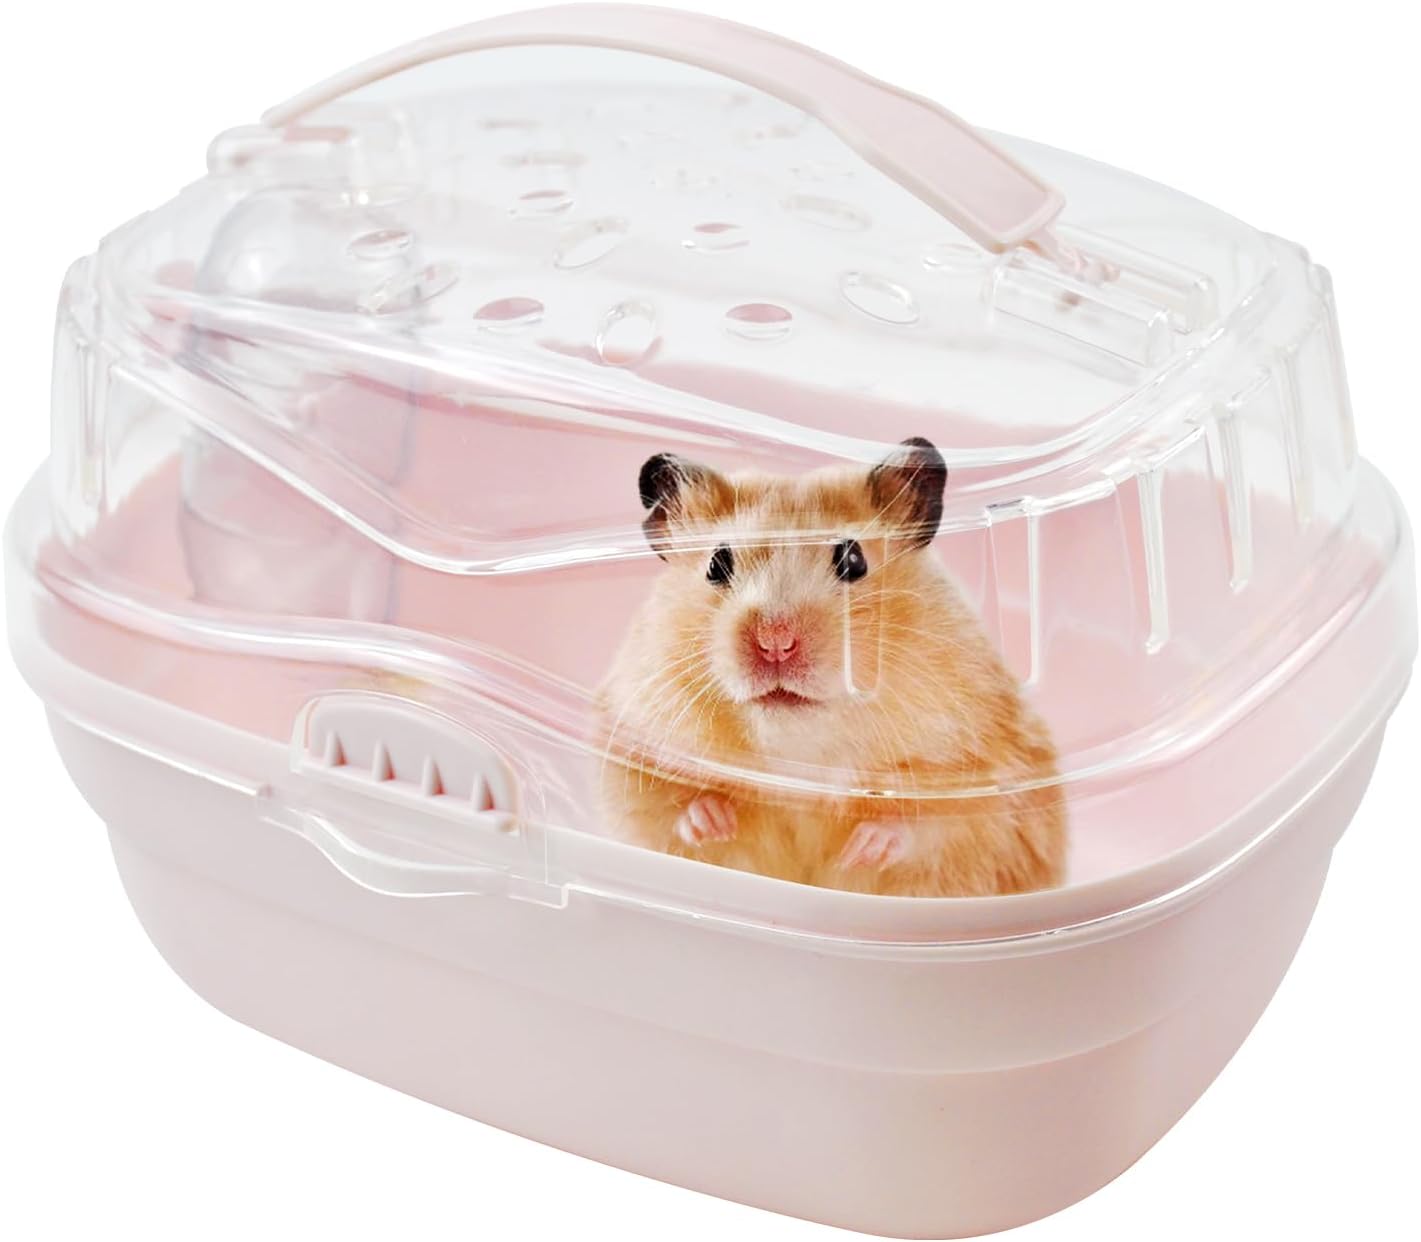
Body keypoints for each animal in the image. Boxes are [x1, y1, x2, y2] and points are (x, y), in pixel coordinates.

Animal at [595, 437, 1066, 898]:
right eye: (716, 564)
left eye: (853, 560)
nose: (775, 642)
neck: (799, 758)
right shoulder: (628, 748)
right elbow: (667, 805)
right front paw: (713, 821)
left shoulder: (982, 772)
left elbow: (934, 823)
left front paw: (862, 849)